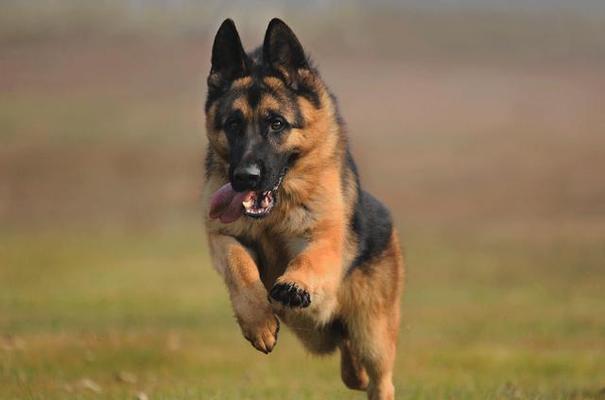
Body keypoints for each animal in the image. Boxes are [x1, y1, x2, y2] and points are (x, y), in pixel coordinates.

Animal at [203, 18, 406, 400]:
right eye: (233, 124)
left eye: (277, 123)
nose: (245, 177)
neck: (275, 214)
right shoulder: (222, 236)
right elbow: (240, 268)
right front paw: (259, 323)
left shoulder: (325, 237)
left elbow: (309, 259)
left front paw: (294, 285)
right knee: (350, 364)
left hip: (373, 336)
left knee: (379, 379)